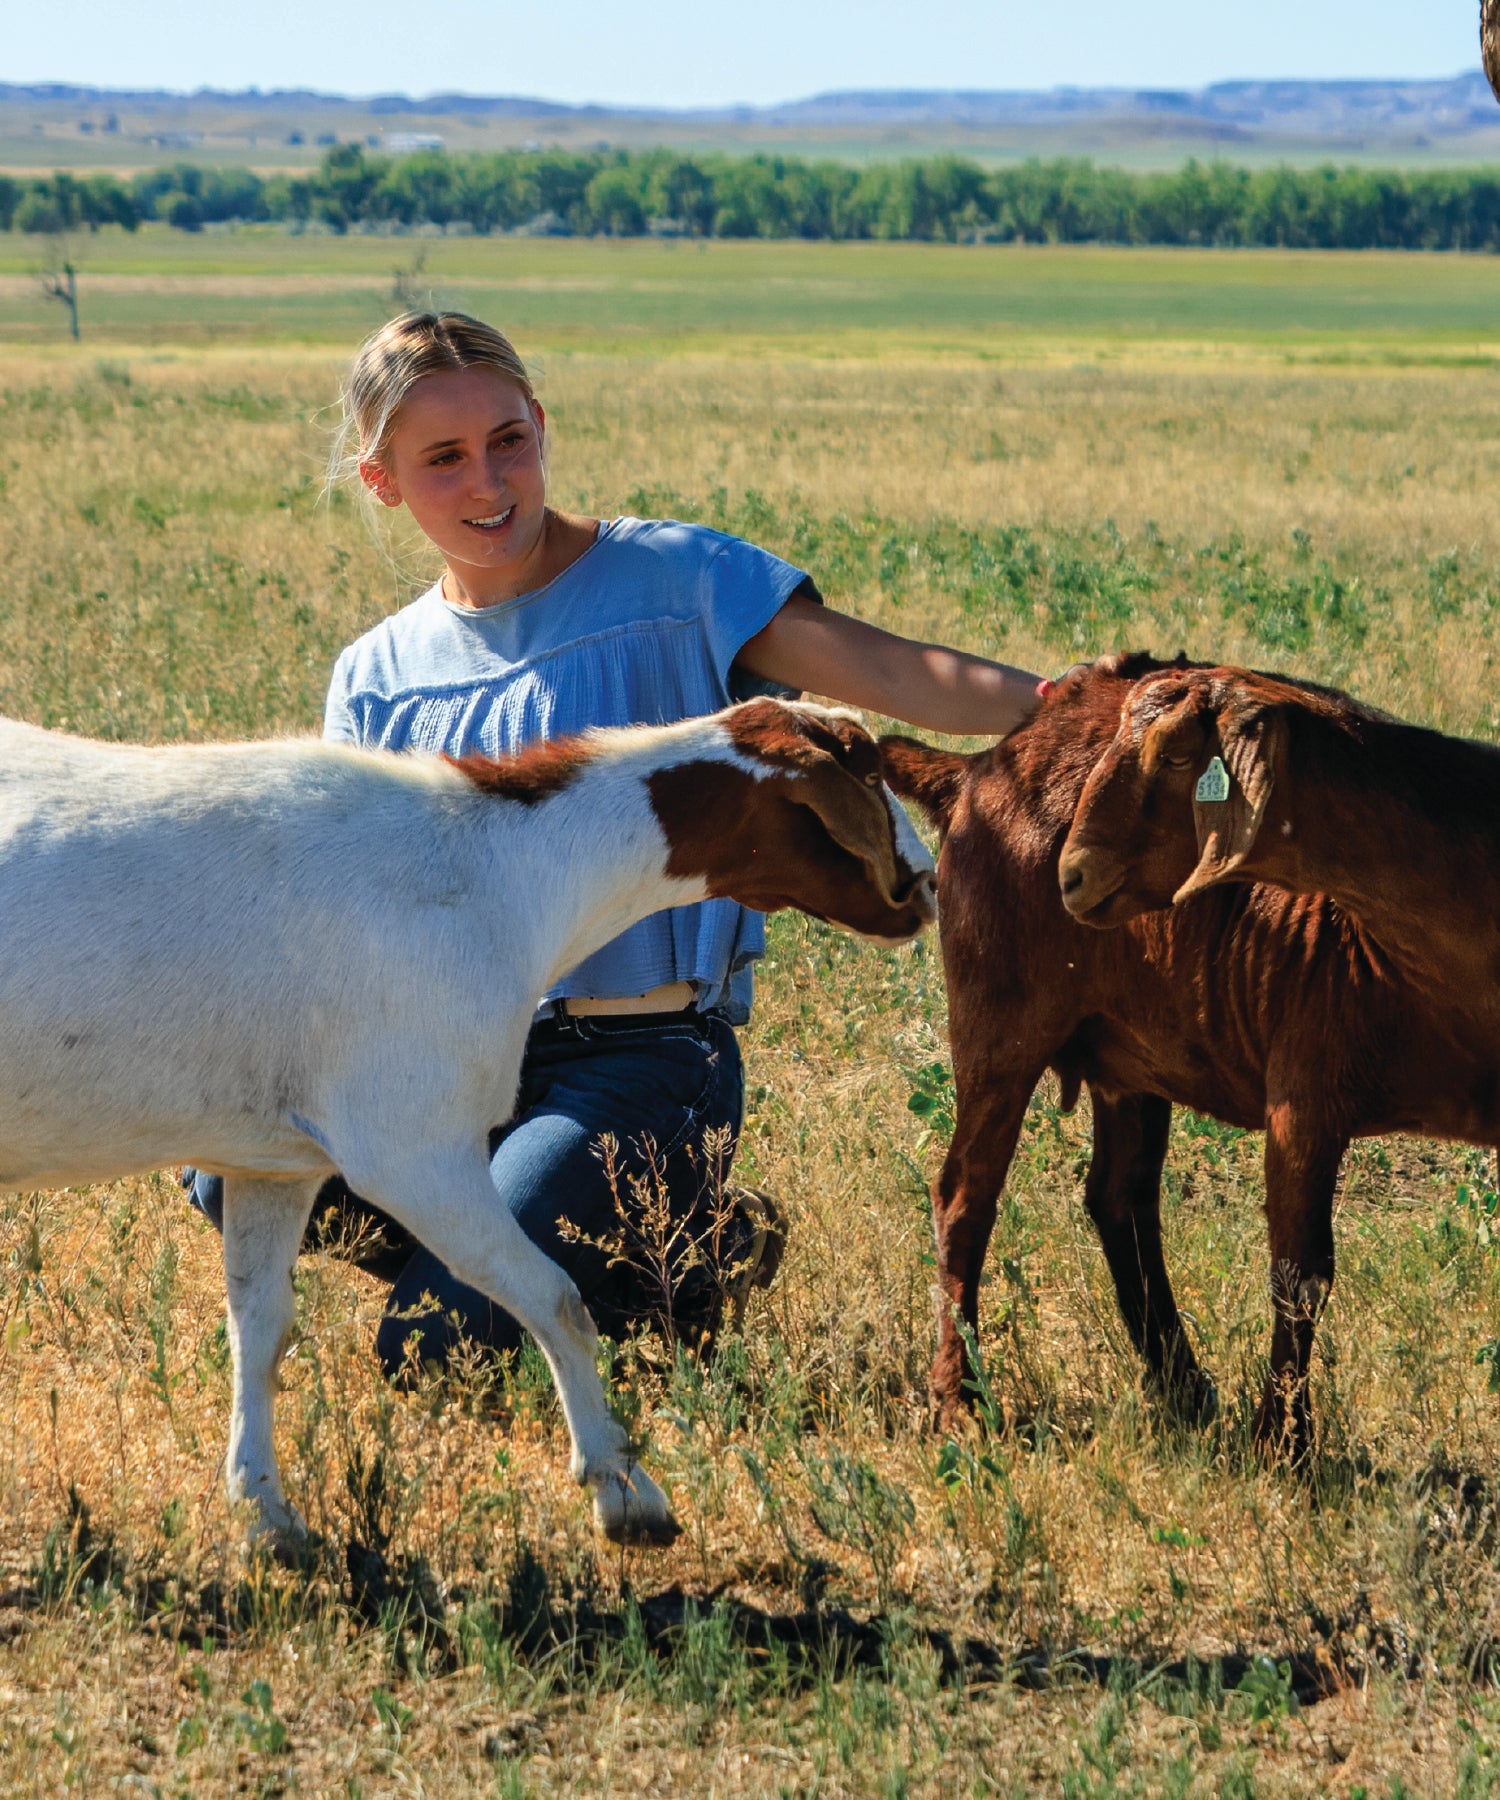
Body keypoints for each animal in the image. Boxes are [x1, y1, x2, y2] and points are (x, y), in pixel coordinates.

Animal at [0, 698, 935, 1549]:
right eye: (866, 771)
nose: (924, 885)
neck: (502, 868)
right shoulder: (416, 1150)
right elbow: (555, 1298)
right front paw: (622, 1487)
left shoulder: (274, 1164)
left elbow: (260, 1332)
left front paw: (265, 1513)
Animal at [881, 654, 1500, 1455]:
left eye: (1177, 756)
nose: (1073, 873)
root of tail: (978, 769)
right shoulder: (1304, 1090)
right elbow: (1301, 1276)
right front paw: (1284, 1447)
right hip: (998, 1016)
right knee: (966, 1194)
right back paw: (959, 1400)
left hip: (1132, 1049)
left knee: (1118, 1196)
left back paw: (1181, 1385)